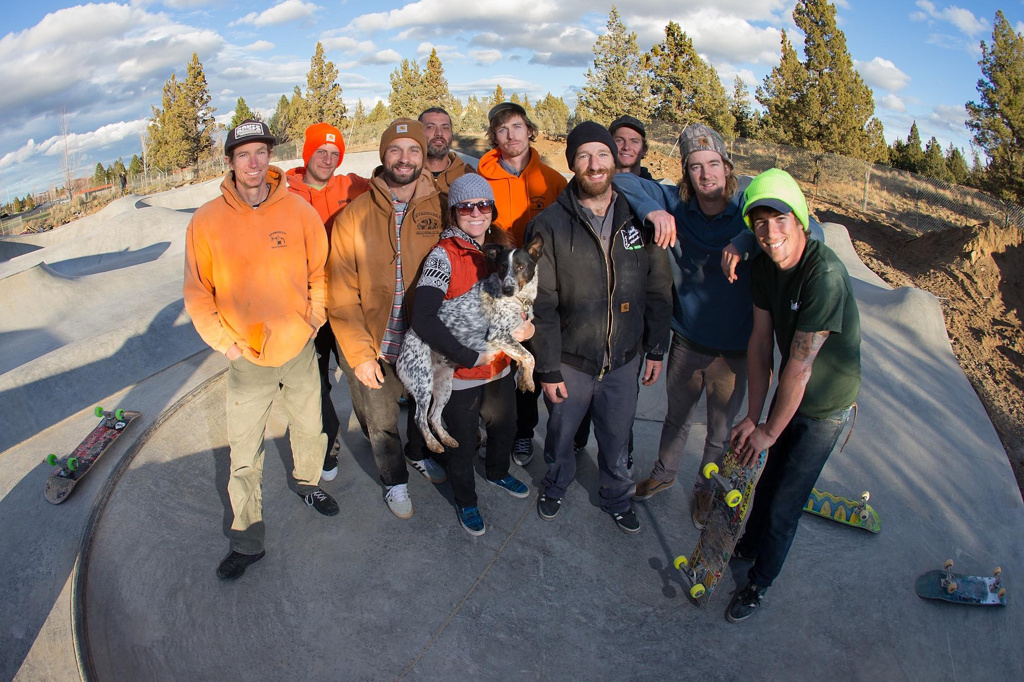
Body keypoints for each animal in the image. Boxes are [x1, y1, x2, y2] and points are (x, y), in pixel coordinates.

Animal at [397, 233, 544, 450]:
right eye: (502, 267)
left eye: (520, 266)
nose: (508, 289)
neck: (519, 300)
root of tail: (401, 351)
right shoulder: (498, 334)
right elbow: (530, 356)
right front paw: (530, 380)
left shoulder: (509, 338)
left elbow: (523, 358)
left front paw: (524, 380)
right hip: (423, 383)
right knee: (420, 418)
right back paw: (433, 444)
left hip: (444, 386)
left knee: (434, 416)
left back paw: (446, 438)